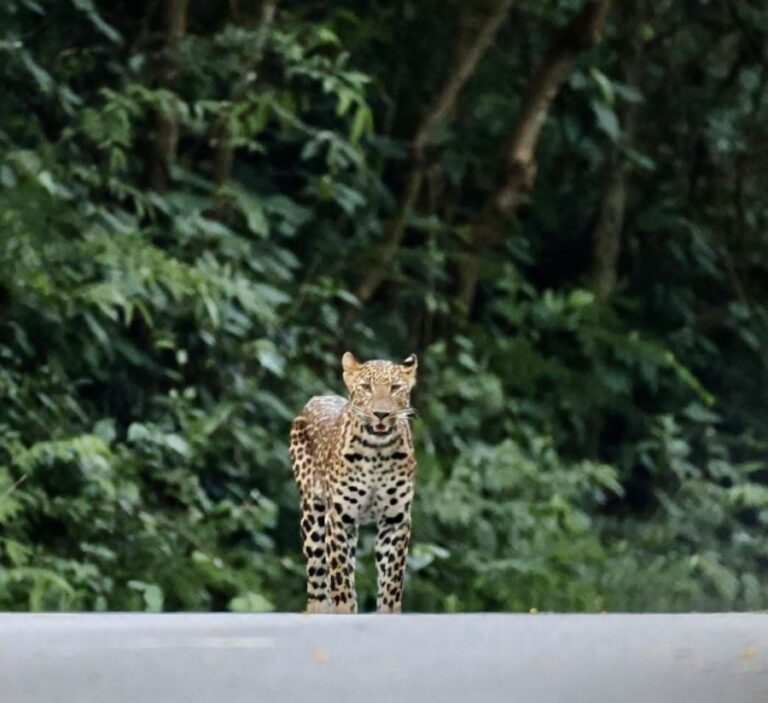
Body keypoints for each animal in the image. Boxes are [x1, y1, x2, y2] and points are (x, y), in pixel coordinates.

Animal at [290, 354, 420, 612]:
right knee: (317, 582)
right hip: (313, 518)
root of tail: (317, 398)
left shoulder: (396, 519)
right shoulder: (340, 517)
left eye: (395, 388)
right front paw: (345, 610)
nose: (381, 414)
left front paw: (389, 610)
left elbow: (392, 576)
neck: (377, 453)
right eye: (366, 387)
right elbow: (339, 575)